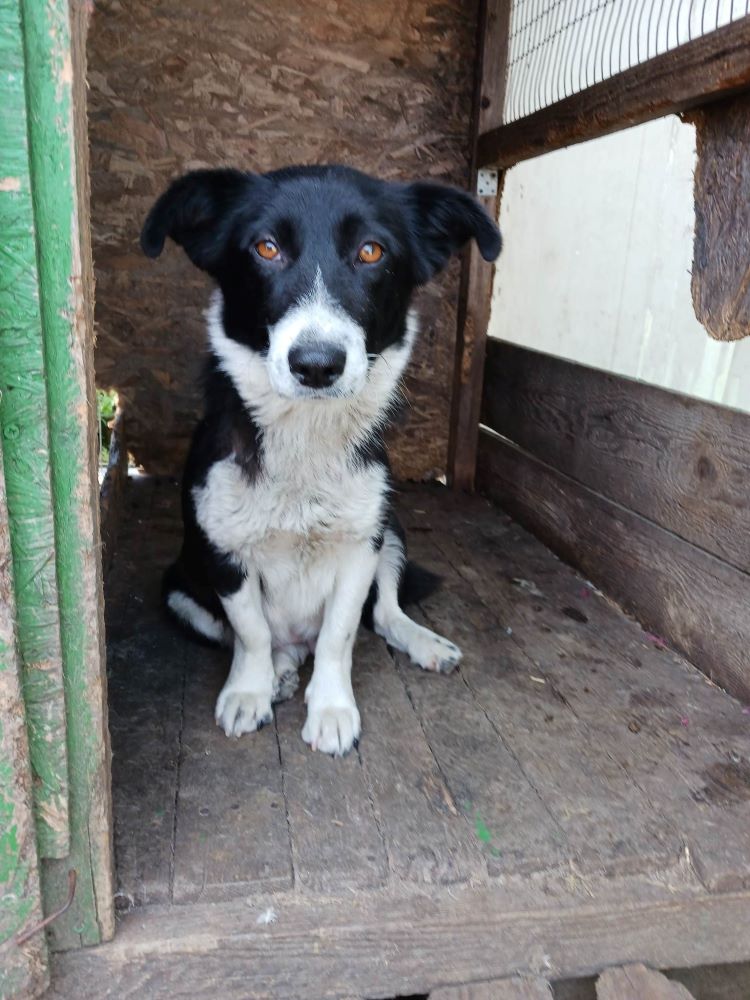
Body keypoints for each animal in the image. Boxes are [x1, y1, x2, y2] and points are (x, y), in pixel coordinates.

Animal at [143, 166, 502, 756]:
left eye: (371, 251)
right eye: (266, 248)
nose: (316, 365)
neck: (305, 440)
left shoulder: (361, 544)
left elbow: (341, 633)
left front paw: (332, 709)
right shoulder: (223, 554)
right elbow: (251, 633)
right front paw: (250, 692)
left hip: (392, 528)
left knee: (384, 613)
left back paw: (423, 643)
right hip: (180, 589)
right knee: (267, 641)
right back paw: (281, 674)